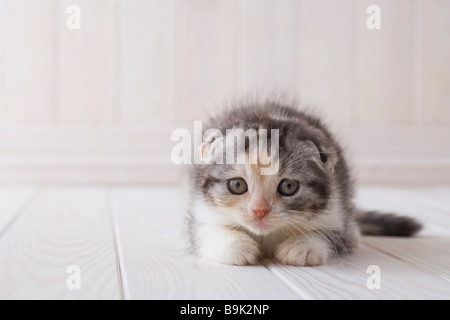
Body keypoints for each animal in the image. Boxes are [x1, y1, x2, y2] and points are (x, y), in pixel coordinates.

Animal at [184, 101, 422, 266]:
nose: (260, 211)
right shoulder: (199, 206)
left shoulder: (336, 203)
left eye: (288, 187)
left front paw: (303, 246)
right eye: (237, 185)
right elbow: (201, 231)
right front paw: (236, 246)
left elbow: (332, 235)